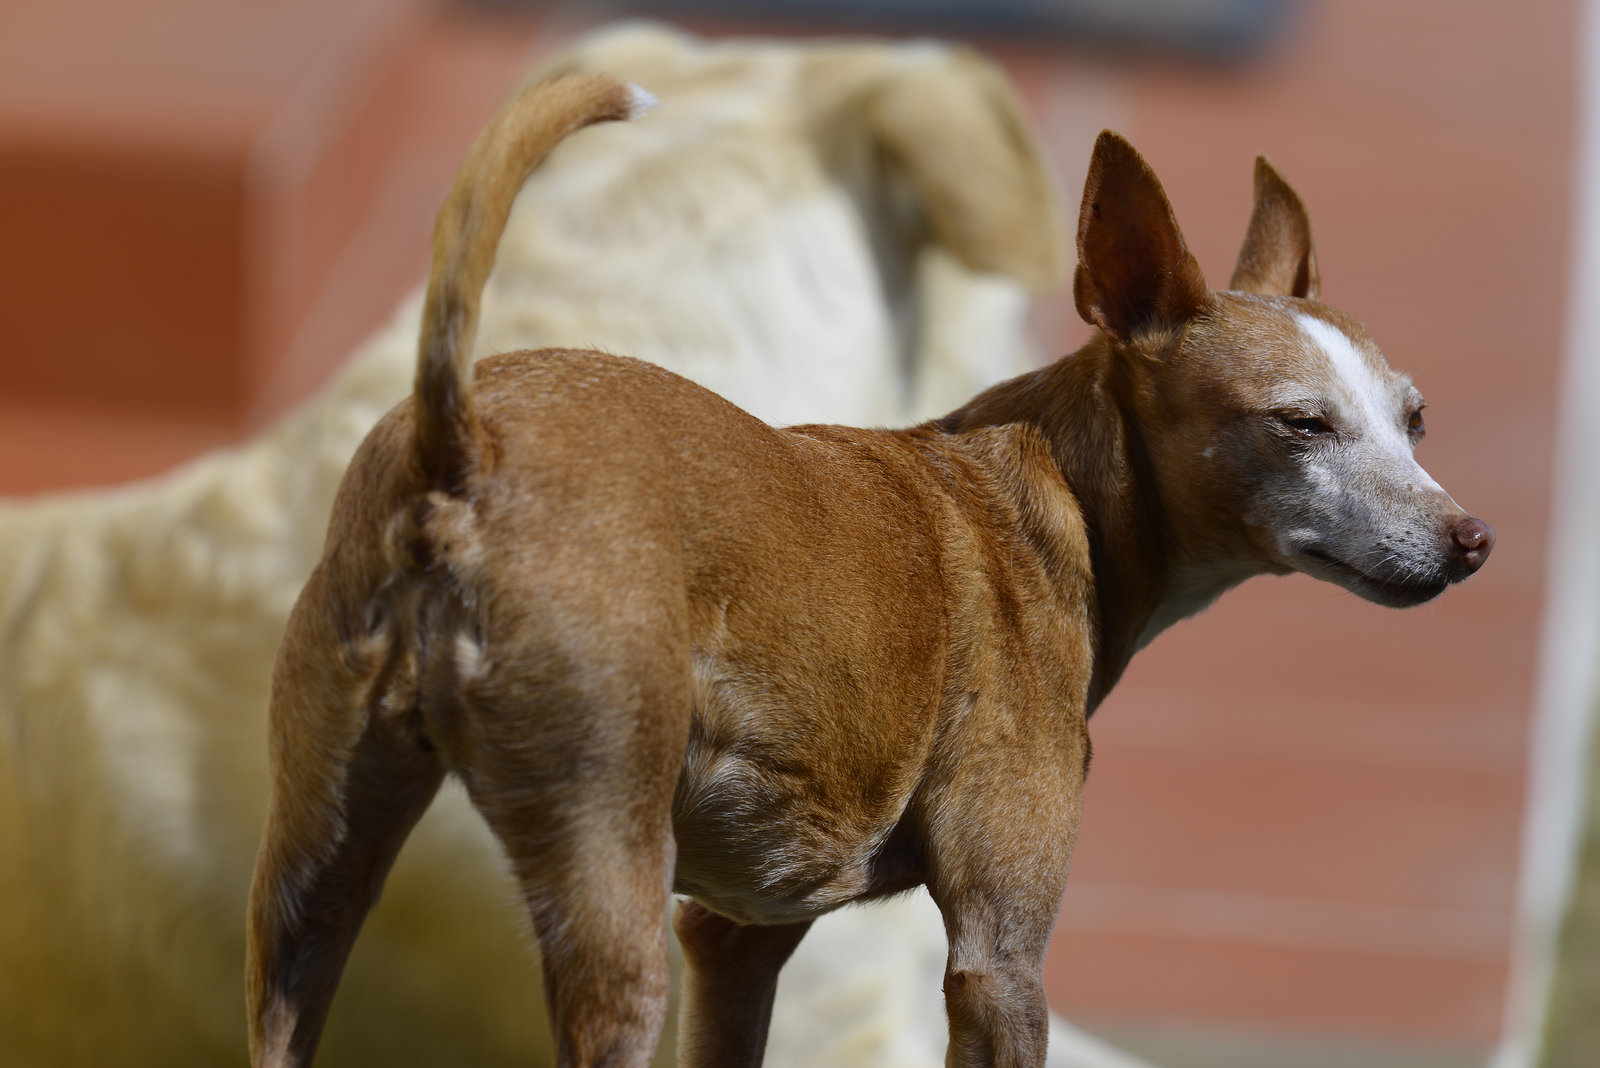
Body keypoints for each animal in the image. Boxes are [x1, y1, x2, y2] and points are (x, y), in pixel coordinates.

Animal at [243, 70, 1491, 1061]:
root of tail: (463, 444)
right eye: (1299, 425)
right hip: (606, 889)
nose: (1468, 540)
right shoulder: (997, 957)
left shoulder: (737, 935)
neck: (1054, 497)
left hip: (312, 883)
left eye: (1414, 420)